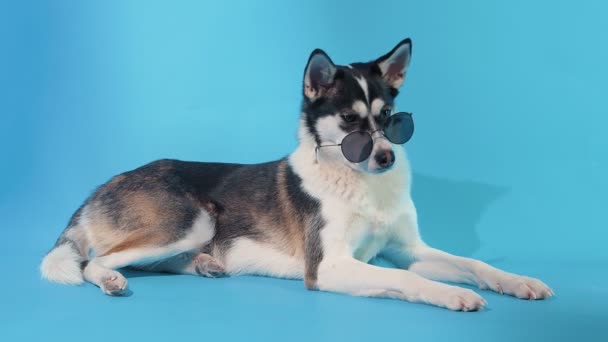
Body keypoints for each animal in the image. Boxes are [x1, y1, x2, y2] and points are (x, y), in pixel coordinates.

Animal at [40, 38, 552, 312]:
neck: (360, 181)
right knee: (94, 261)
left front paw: (516, 281)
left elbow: (472, 264)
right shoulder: (328, 267)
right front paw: (450, 294)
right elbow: (411, 282)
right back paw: (112, 280)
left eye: (392, 119)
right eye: (350, 122)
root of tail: (100, 188)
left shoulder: (410, 252)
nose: (386, 157)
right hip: (193, 218)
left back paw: (206, 264)